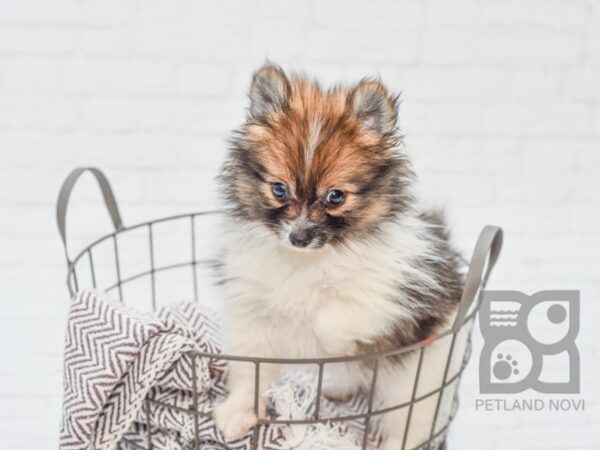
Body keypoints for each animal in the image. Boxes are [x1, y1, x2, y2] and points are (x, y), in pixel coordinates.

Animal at [214, 64, 464, 450]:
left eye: (335, 196)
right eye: (279, 189)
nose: (299, 237)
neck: (307, 261)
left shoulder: (390, 295)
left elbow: (332, 318)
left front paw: (326, 338)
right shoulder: (254, 312)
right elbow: (249, 370)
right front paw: (238, 412)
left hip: (420, 374)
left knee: (411, 423)